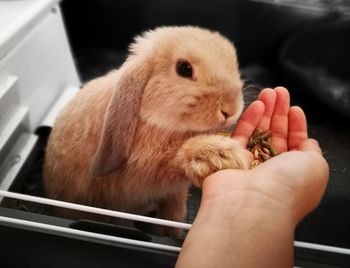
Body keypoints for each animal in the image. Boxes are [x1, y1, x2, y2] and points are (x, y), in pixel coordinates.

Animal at [43, 26, 249, 236]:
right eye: (184, 69)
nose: (230, 111)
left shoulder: (173, 194)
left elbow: (173, 215)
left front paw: (171, 234)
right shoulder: (140, 176)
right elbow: (171, 161)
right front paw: (220, 155)